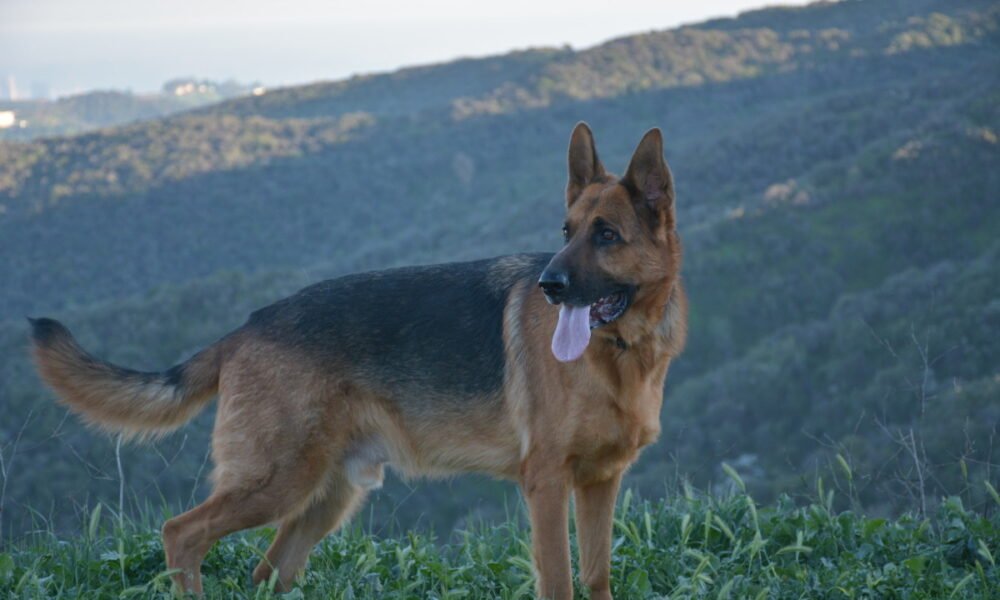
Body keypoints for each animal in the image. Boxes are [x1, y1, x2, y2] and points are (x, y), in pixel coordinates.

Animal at [30, 122, 687, 599]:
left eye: (606, 235)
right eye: (566, 231)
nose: (549, 287)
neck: (620, 353)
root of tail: (246, 327)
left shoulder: (599, 483)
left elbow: (596, 577)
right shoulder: (547, 485)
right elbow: (561, 581)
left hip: (323, 498)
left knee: (265, 573)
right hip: (277, 482)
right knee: (181, 534)